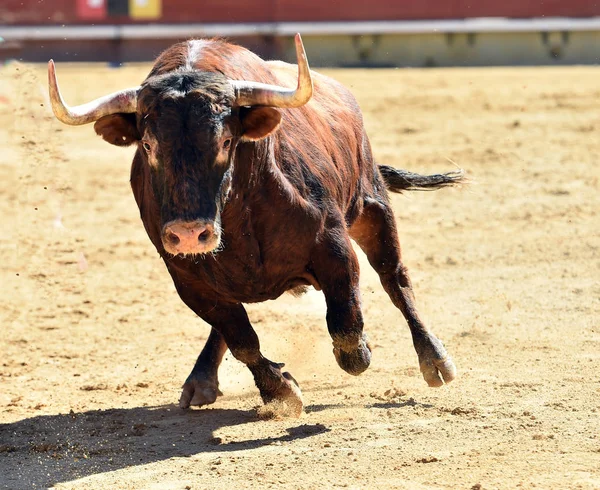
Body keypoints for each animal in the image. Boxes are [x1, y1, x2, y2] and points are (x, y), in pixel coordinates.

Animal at [50, 35, 464, 418]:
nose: (189, 233)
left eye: (226, 142)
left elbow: (346, 325)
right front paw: (281, 391)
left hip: (371, 205)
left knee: (395, 278)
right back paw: (200, 382)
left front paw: (360, 352)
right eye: (149, 146)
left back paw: (435, 361)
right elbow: (241, 339)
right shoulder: (187, 277)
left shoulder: (333, 245)